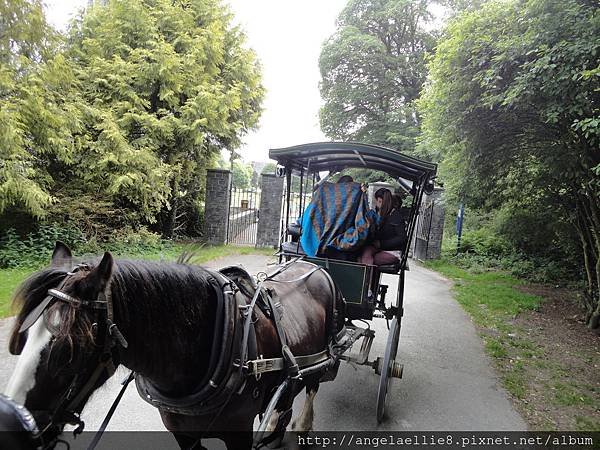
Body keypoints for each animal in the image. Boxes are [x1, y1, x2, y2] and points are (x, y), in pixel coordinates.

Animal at [2, 244, 344, 448]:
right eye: (23, 339)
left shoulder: (239, 436)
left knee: (313, 384)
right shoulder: (182, 434)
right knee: (288, 392)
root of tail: (315, 266)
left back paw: (301, 424)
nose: (12, 425)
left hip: (322, 357)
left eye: (68, 351)